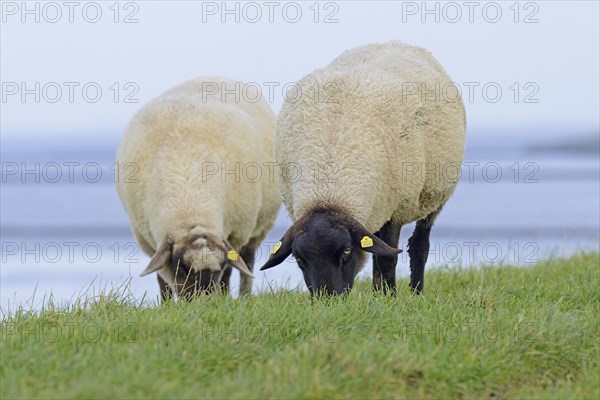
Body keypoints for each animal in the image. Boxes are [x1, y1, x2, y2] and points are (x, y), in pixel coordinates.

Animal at [116, 76, 282, 300]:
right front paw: (166, 304)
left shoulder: (236, 233)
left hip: (258, 228)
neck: (190, 201)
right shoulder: (150, 240)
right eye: (181, 267)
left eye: (217, 268)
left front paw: (224, 297)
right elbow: (162, 279)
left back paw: (244, 296)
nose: (203, 301)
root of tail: (217, 77)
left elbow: (228, 272)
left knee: (247, 262)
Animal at [260, 42, 466, 296]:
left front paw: (390, 298)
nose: (328, 299)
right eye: (299, 259)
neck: (328, 187)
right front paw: (381, 296)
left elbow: (388, 258)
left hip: (432, 198)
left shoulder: (395, 208)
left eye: (346, 251)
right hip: (377, 206)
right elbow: (379, 253)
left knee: (419, 246)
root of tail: (394, 42)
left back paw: (416, 292)